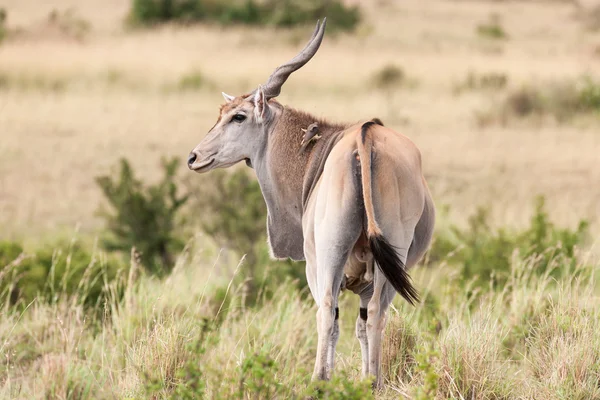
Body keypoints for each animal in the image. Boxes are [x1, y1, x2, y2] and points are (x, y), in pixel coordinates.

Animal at [186, 19, 432, 390]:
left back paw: (318, 379)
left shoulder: (315, 265)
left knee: (327, 310)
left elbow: (335, 319)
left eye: (238, 117)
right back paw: (374, 382)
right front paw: (365, 377)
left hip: (328, 254)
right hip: (392, 255)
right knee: (375, 313)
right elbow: (362, 324)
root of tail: (366, 140)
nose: (194, 157)